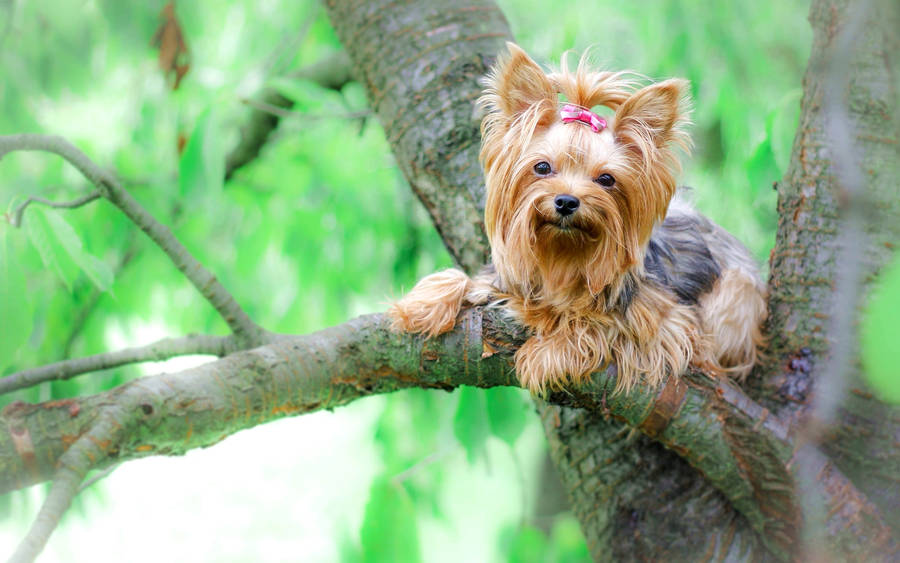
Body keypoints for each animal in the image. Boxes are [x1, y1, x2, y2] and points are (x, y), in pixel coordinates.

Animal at [388, 44, 768, 394]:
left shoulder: (667, 324)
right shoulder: (507, 277)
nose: (567, 201)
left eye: (606, 179)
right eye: (542, 167)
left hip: (737, 295)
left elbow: (600, 324)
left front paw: (546, 354)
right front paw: (423, 304)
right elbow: (466, 280)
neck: (563, 256)